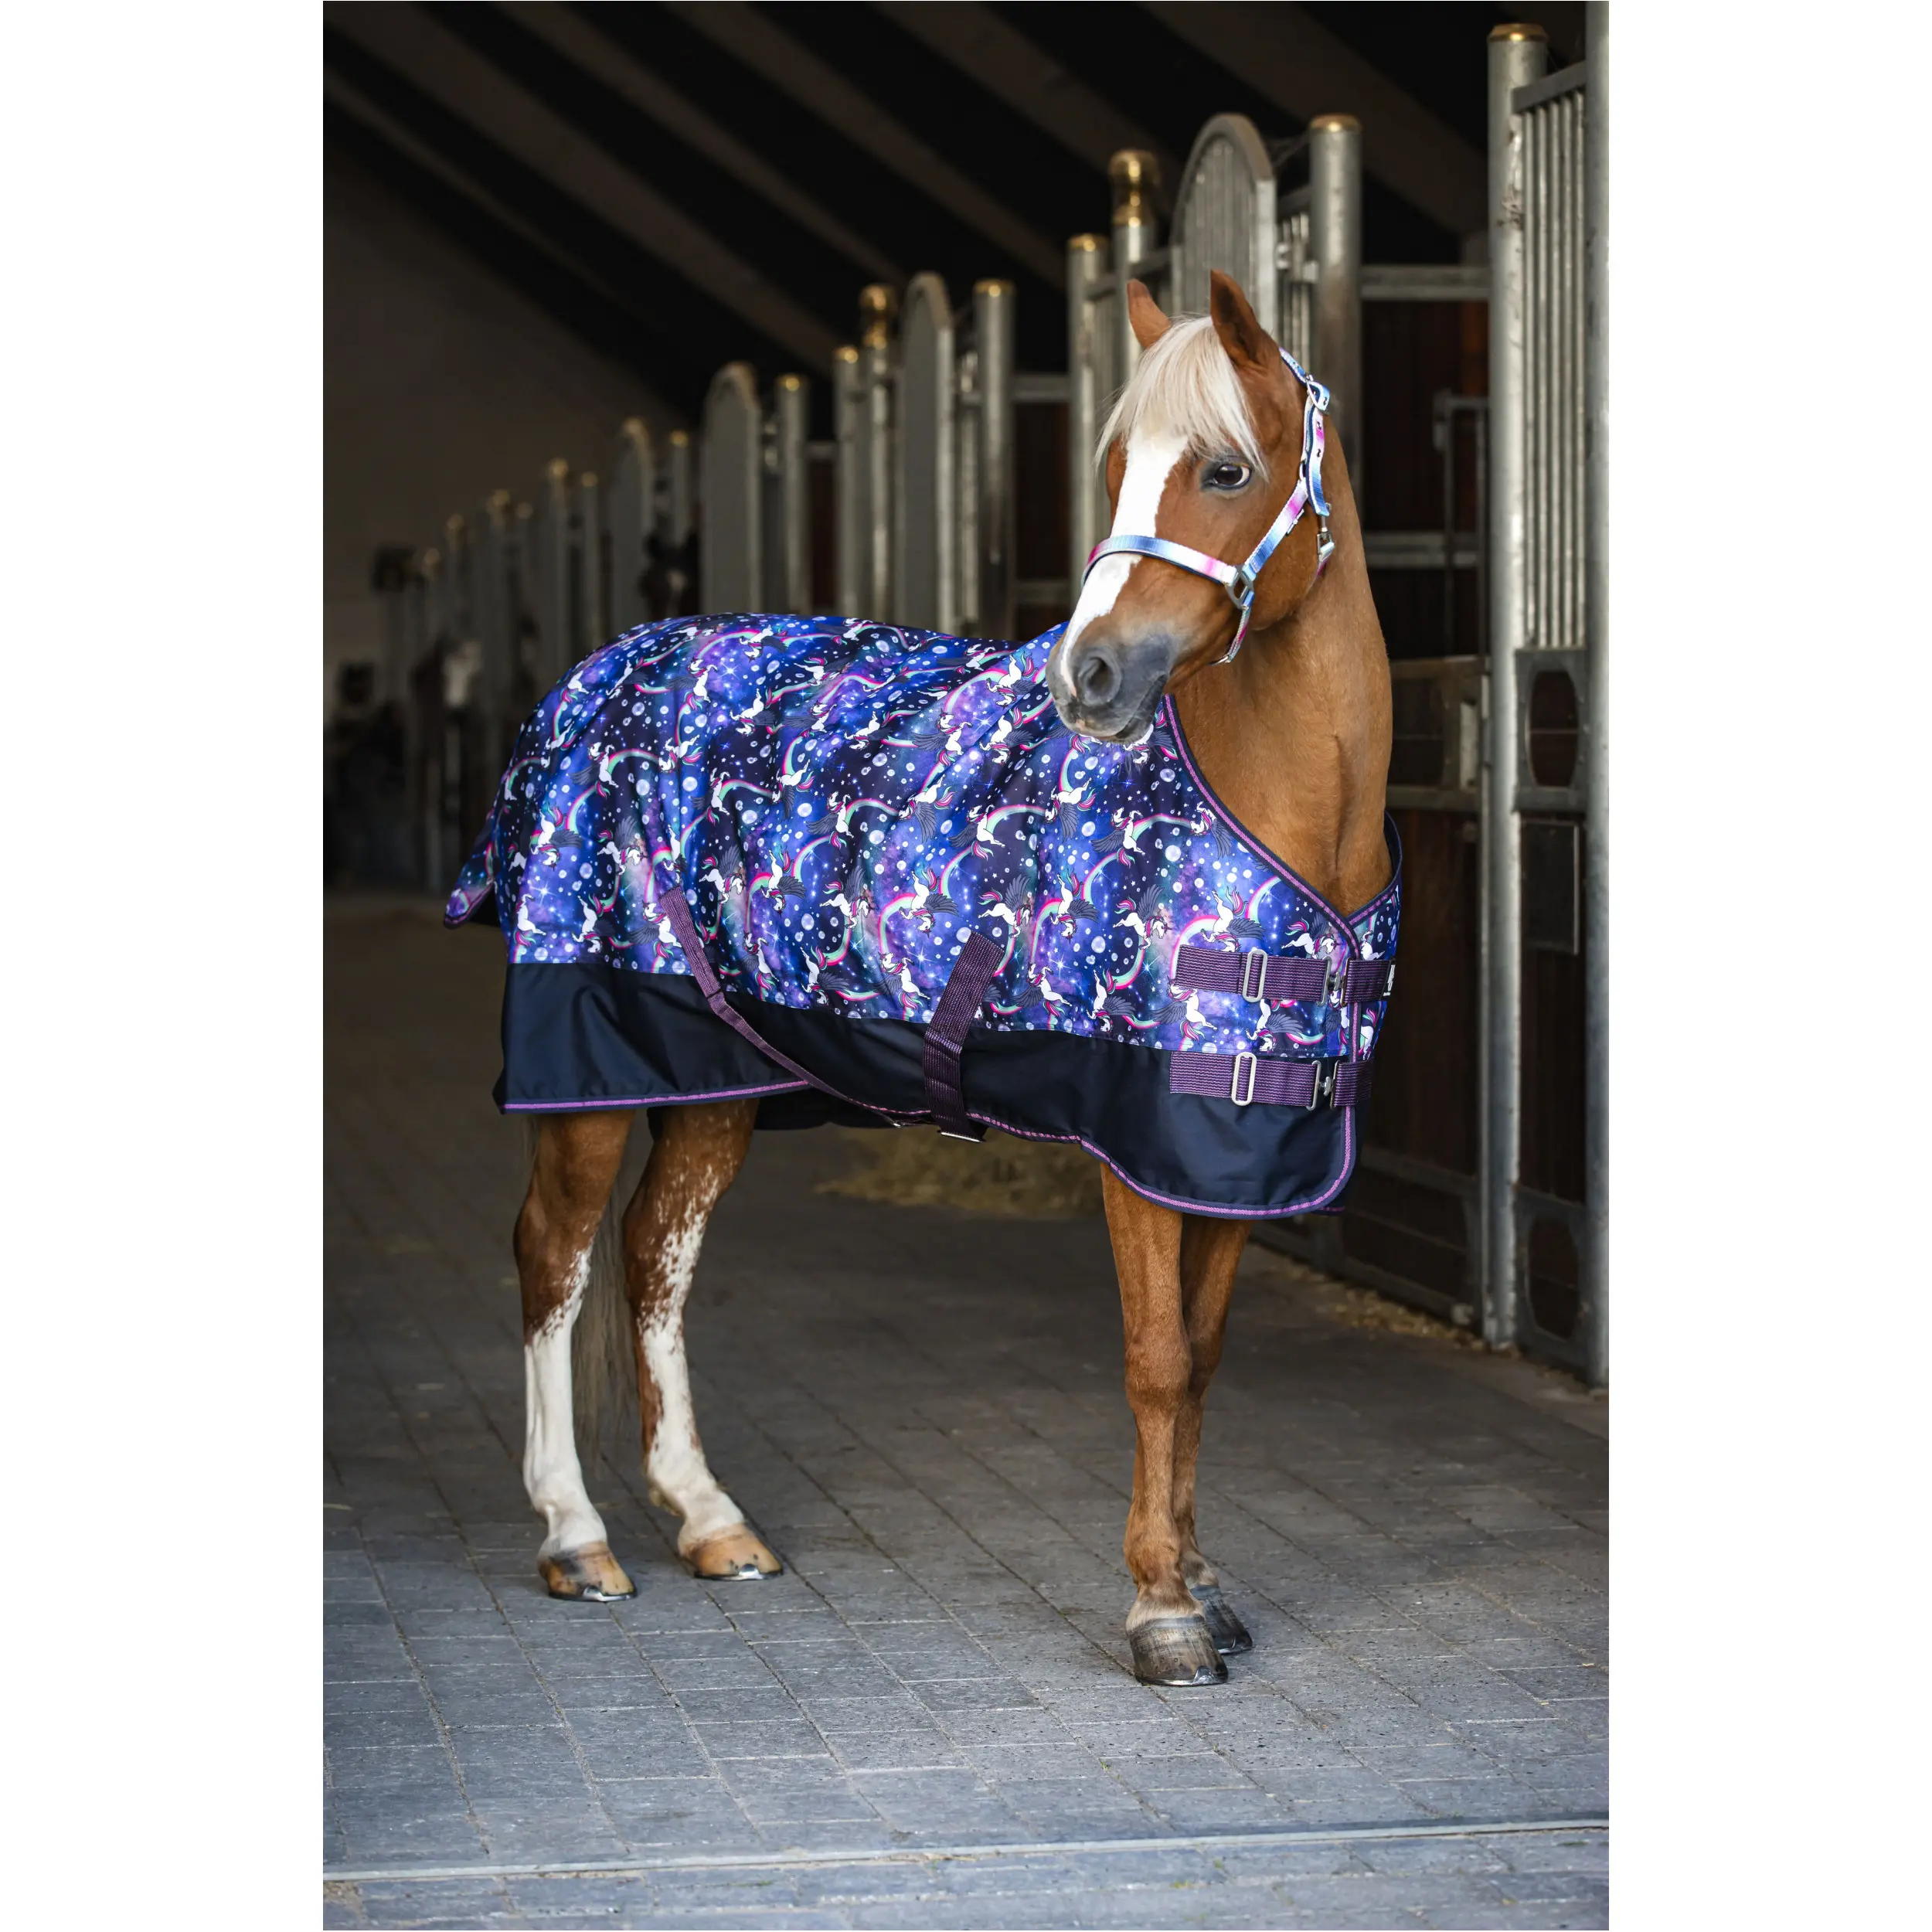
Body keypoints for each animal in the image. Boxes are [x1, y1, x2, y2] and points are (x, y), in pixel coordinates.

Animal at [481, 271, 1393, 1687]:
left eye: (1225, 470)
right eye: (1114, 467)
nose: (1089, 675)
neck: (1275, 805)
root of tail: (589, 682)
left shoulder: (1239, 1145)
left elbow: (1206, 1359)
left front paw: (1201, 1579)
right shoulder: (1137, 1139)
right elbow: (1155, 1359)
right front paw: (1161, 1609)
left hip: (717, 1075)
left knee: (654, 1255)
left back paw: (708, 1519)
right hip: (588, 1059)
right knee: (556, 1258)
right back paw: (577, 1537)